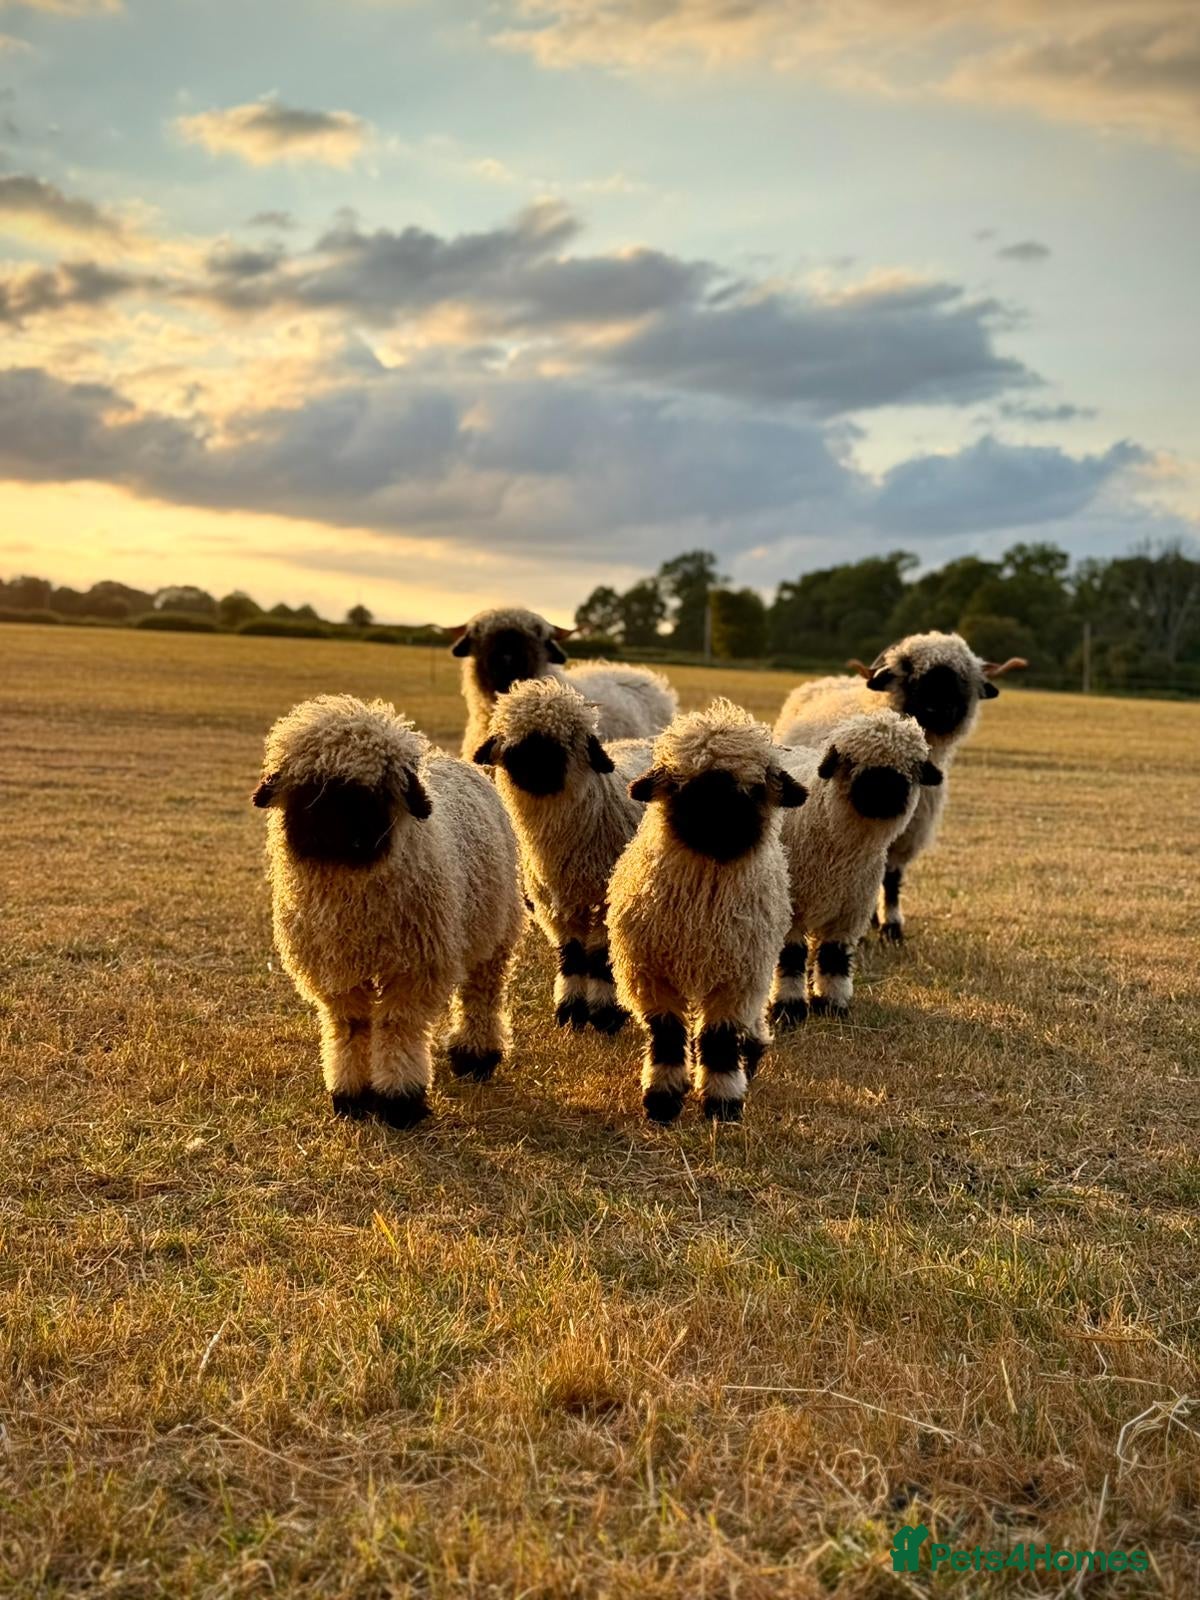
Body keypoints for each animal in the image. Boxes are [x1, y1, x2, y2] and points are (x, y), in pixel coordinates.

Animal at [251, 695, 525, 1127]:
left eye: (374, 791)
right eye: (308, 787)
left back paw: (476, 1057)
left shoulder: (412, 970)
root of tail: (453, 760)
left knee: (481, 995)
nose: (333, 831)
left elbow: (399, 1027)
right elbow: (351, 1026)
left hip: (496, 930)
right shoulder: (338, 972)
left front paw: (401, 1102)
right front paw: (351, 1097)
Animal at [473, 676, 652, 1035]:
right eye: (510, 739)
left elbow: (599, 957)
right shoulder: (554, 905)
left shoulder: (604, 901)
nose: (532, 771)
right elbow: (571, 956)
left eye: (566, 741)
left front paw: (604, 1016)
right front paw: (571, 1014)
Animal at [608, 699, 807, 1125]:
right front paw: (662, 1100)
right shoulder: (651, 972)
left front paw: (723, 1103)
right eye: (686, 787)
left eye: (754, 789)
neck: (704, 911)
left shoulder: (737, 977)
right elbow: (667, 1034)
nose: (721, 823)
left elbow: (719, 1039)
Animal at [772, 710, 943, 1025]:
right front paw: (789, 1010)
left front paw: (832, 1005)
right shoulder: (793, 907)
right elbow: (790, 957)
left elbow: (834, 958)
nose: (884, 789)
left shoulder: (850, 911)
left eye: (911, 767)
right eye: (851, 761)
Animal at [775, 633, 1025, 941]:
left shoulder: (906, 833)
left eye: (963, 676)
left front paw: (892, 926)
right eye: (909, 671)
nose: (937, 709)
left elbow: (892, 877)